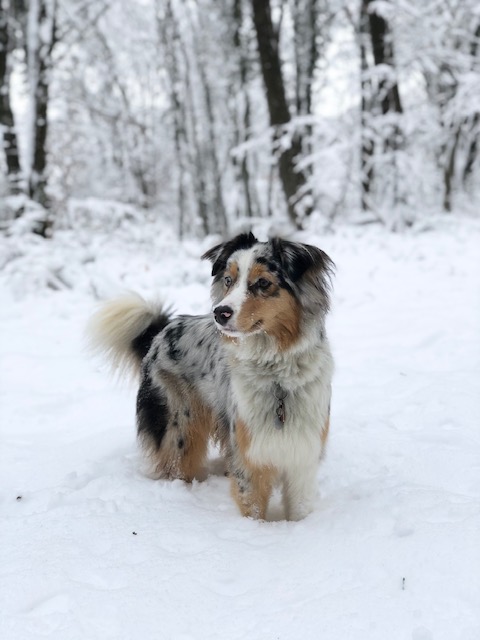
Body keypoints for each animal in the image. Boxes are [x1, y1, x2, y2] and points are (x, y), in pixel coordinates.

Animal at [88, 232, 334, 524]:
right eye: (228, 280)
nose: (220, 312)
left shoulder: (303, 454)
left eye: (263, 283)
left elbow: (299, 508)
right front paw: (257, 530)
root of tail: (162, 331)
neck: (276, 376)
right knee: (175, 464)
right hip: (179, 426)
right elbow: (252, 507)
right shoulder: (248, 453)